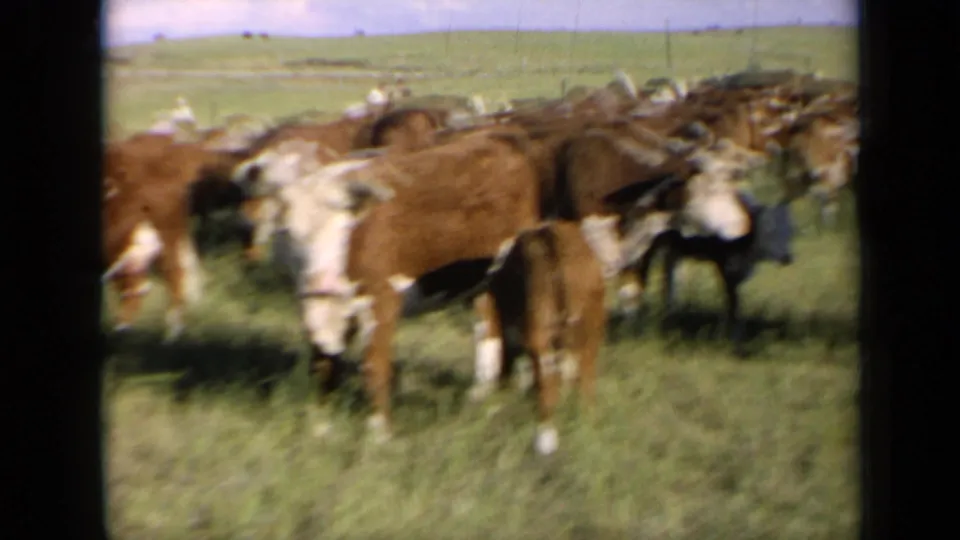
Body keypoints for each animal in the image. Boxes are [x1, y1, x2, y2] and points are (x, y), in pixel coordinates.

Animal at [479, 220, 608, 455]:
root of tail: (552, 238)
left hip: (540, 330)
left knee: (548, 381)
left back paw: (545, 438)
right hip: (592, 324)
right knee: (586, 376)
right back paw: (587, 423)